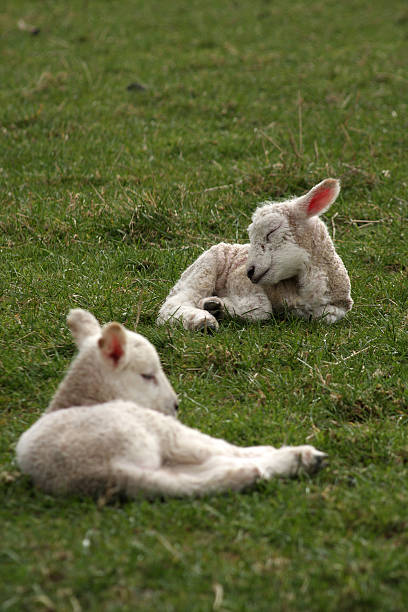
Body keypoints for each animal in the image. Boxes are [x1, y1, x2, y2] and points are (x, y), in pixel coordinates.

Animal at [15, 308, 326, 500]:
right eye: (148, 375)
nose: (175, 406)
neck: (81, 398)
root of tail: (108, 471)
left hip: (157, 468)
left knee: (194, 480)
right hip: (153, 431)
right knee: (220, 452)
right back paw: (299, 457)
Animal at [158, 177, 352, 330]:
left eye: (271, 231)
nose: (249, 271)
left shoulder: (334, 309)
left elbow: (323, 315)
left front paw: (218, 306)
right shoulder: (239, 280)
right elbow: (261, 308)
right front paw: (214, 305)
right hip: (205, 267)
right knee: (172, 305)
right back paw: (203, 321)